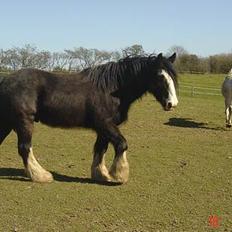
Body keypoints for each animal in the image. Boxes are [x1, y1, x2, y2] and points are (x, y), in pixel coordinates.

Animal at [0, 52, 179, 183]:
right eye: (160, 76)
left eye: (173, 77)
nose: (172, 103)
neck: (111, 90)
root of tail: (5, 81)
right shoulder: (105, 124)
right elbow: (122, 144)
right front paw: (118, 175)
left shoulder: (103, 129)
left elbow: (100, 149)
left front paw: (102, 175)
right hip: (24, 122)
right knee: (25, 147)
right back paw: (41, 175)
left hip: (7, 123)